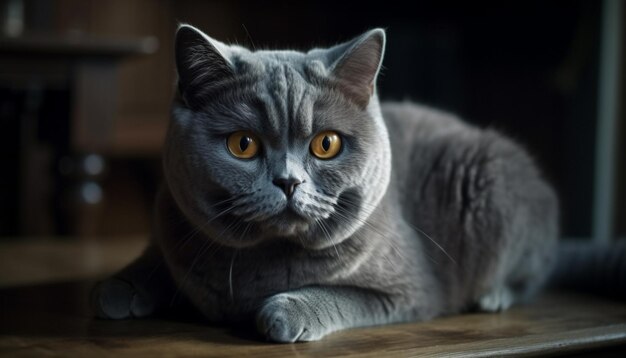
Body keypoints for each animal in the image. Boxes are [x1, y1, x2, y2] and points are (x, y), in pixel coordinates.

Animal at [91, 23, 620, 342]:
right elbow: (154, 263)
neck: (260, 264)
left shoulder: (408, 290)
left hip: (493, 186)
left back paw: (493, 296)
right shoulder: (173, 225)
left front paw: (283, 313)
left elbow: (340, 294)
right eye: (243, 144)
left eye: (326, 144)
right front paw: (114, 290)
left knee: (531, 271)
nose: (288, 181)